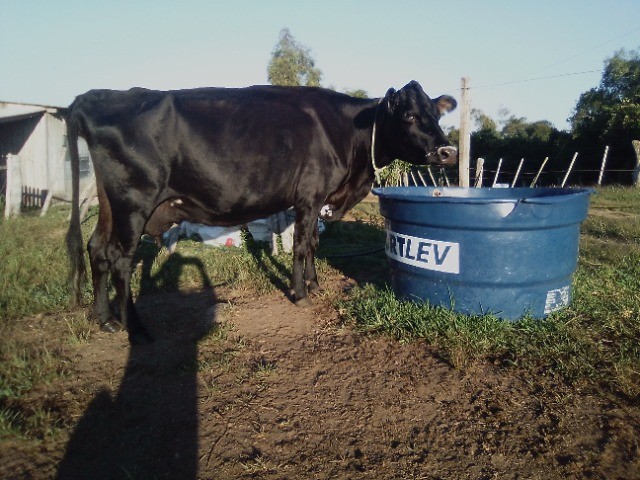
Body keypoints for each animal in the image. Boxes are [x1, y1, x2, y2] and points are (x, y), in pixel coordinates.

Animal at [65, 82, 458, 344]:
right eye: (410, 115)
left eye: (436, 114)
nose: (448, 151)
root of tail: (97, 96)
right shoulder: (310, 196)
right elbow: (300, 245)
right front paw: (300, 293)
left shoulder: (315, 200)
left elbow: (312, 243)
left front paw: (315, 285)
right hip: (134, 202)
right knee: (119, 258)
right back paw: (137, 329)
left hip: (110, 204)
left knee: (96, 249)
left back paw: (105, 319)